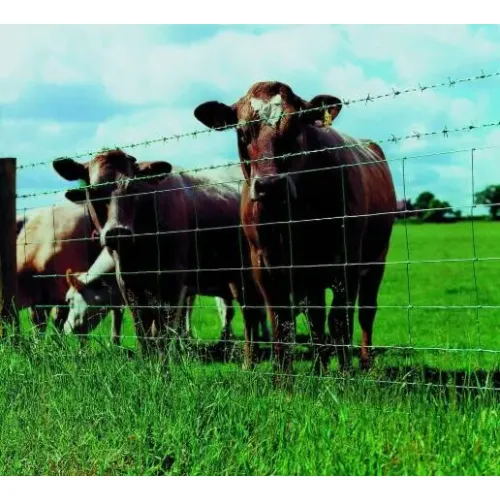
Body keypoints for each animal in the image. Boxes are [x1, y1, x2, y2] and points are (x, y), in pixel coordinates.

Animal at [51, 152, 270, 364]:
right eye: (94, 191)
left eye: (134, 188)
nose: (117, 232)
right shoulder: (129, 284)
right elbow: (142, 330)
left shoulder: (174, 282)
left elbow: (167, 328)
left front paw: (171, 358)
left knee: (252, 313)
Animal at [193, 80, 396, 376]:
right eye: (242, 131)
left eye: (296, 126)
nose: (269, 185)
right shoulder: (264, 265)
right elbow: (282, 323)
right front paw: (283, 378)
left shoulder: (345, 262)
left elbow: (340, 320)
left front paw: (345, 376)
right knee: (315, 316)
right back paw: (319, 365)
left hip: (375, 259)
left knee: (365, 312)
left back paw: (364, 362)